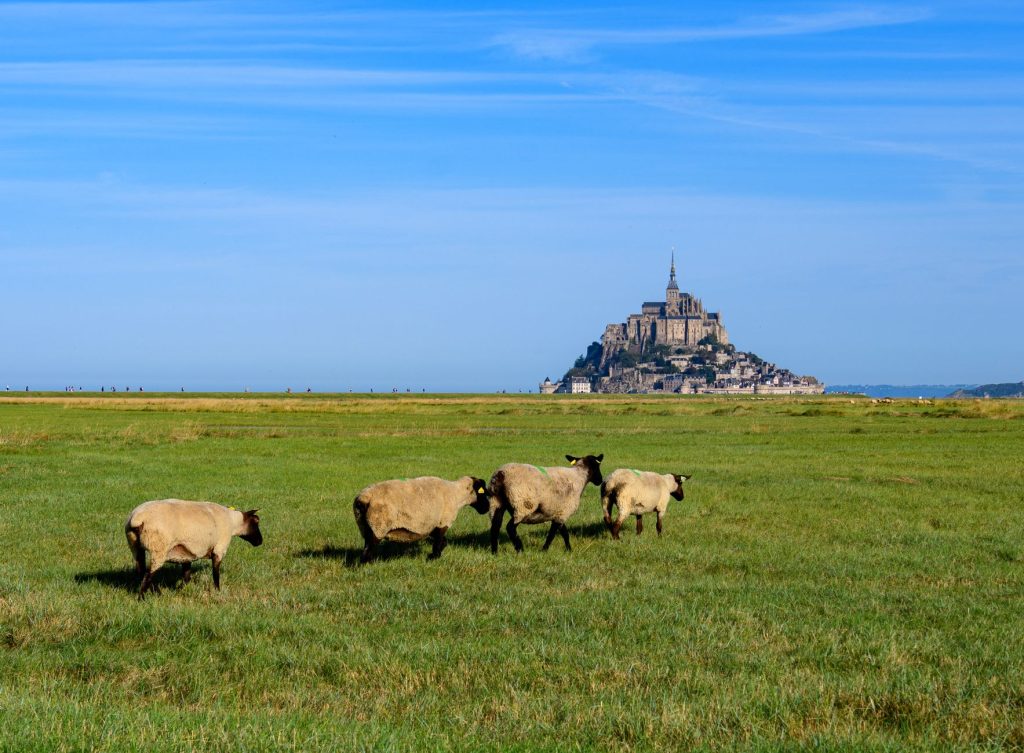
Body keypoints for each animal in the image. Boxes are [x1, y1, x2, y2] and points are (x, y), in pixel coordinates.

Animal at [124, 499, 263, 599]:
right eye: (256, 522)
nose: (260, 542)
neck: (233, 522)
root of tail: (137, 518)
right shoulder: (219, 549)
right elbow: (215, 575)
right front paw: (218, 592)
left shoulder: (186, 554)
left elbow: (186, 576)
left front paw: (180, 590)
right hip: (159, 549)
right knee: (148, 574)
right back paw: (142, 598)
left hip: (135, 546)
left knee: (141, 571)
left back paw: (157, 593)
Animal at [353, 476, 490, 563]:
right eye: (482, 492)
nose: (487, 508)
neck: (457, 495)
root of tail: (363, 499)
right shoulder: (443, 522)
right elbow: (438, 543)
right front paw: (433, 558)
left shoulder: (432, 526)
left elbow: (443, 542)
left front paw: (434, 555)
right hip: (378, 525)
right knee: (366, 553)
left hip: (365, 526)